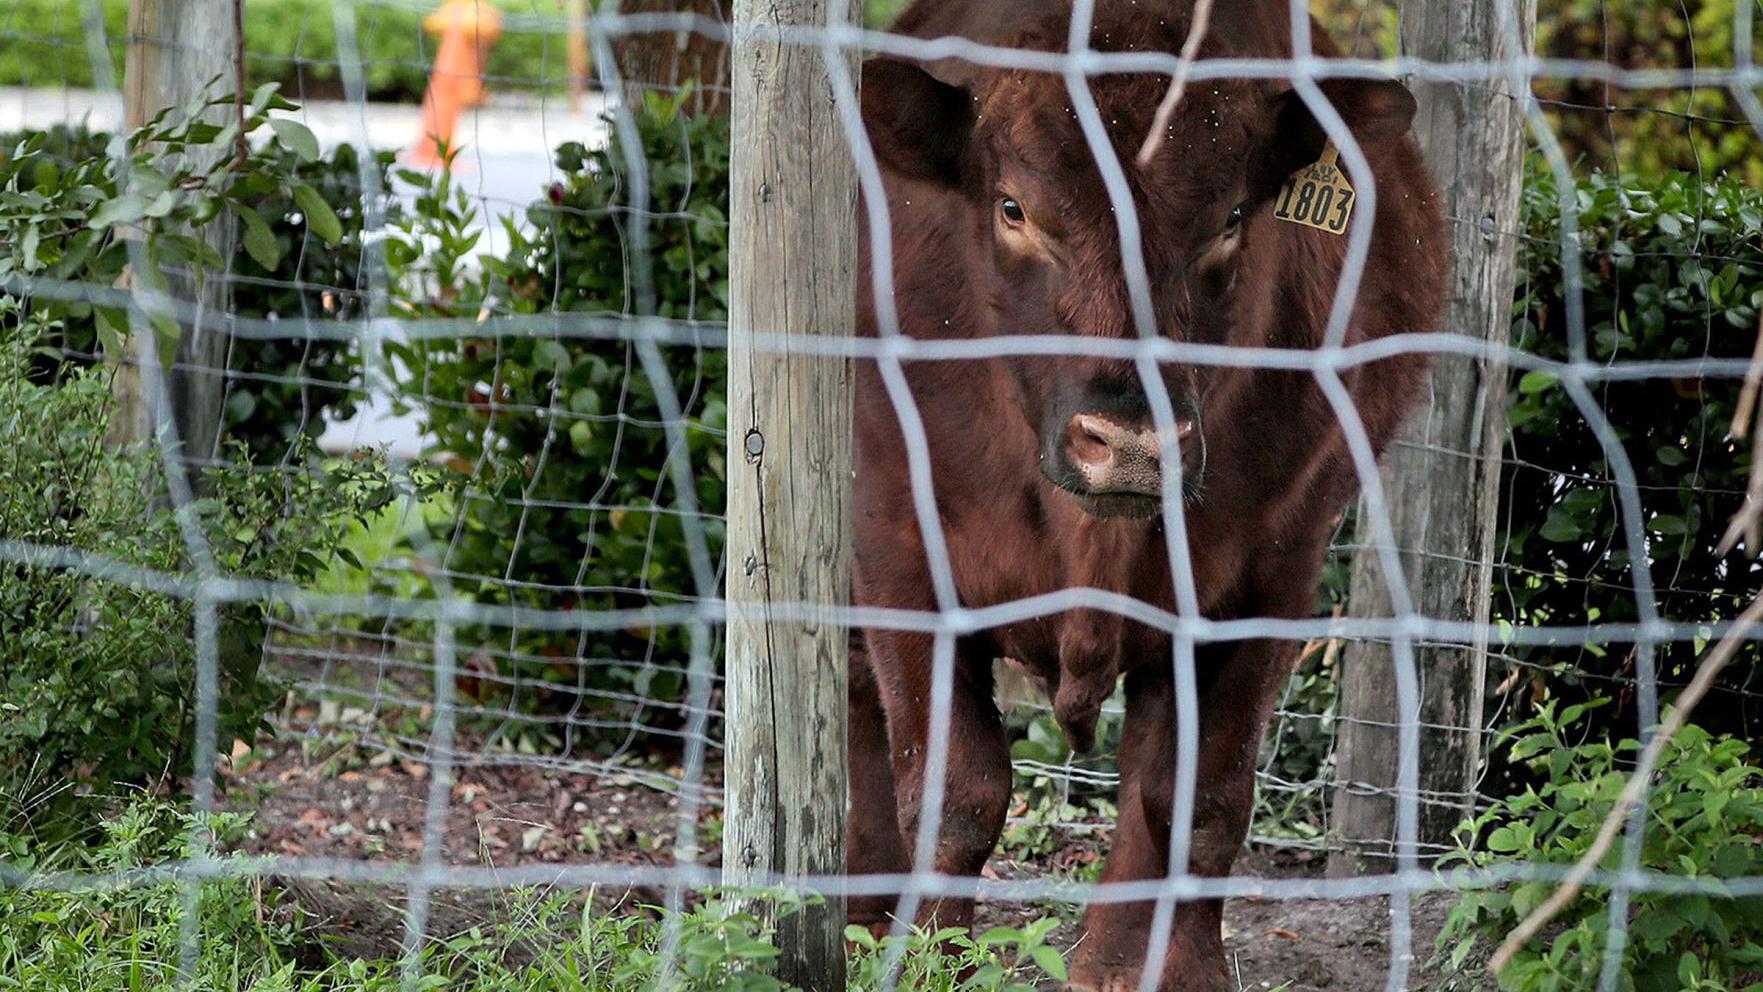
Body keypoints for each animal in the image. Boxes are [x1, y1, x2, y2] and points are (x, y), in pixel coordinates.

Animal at [846, 1, 1449, 989]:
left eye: (1232, 217)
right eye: (1013, 208)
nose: (1131, 442)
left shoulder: (1271, 572)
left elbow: (1197, 796)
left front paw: (1165, 967)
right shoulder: (896, 545)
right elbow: (951, 786)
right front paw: (929, 959)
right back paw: (859, 914)